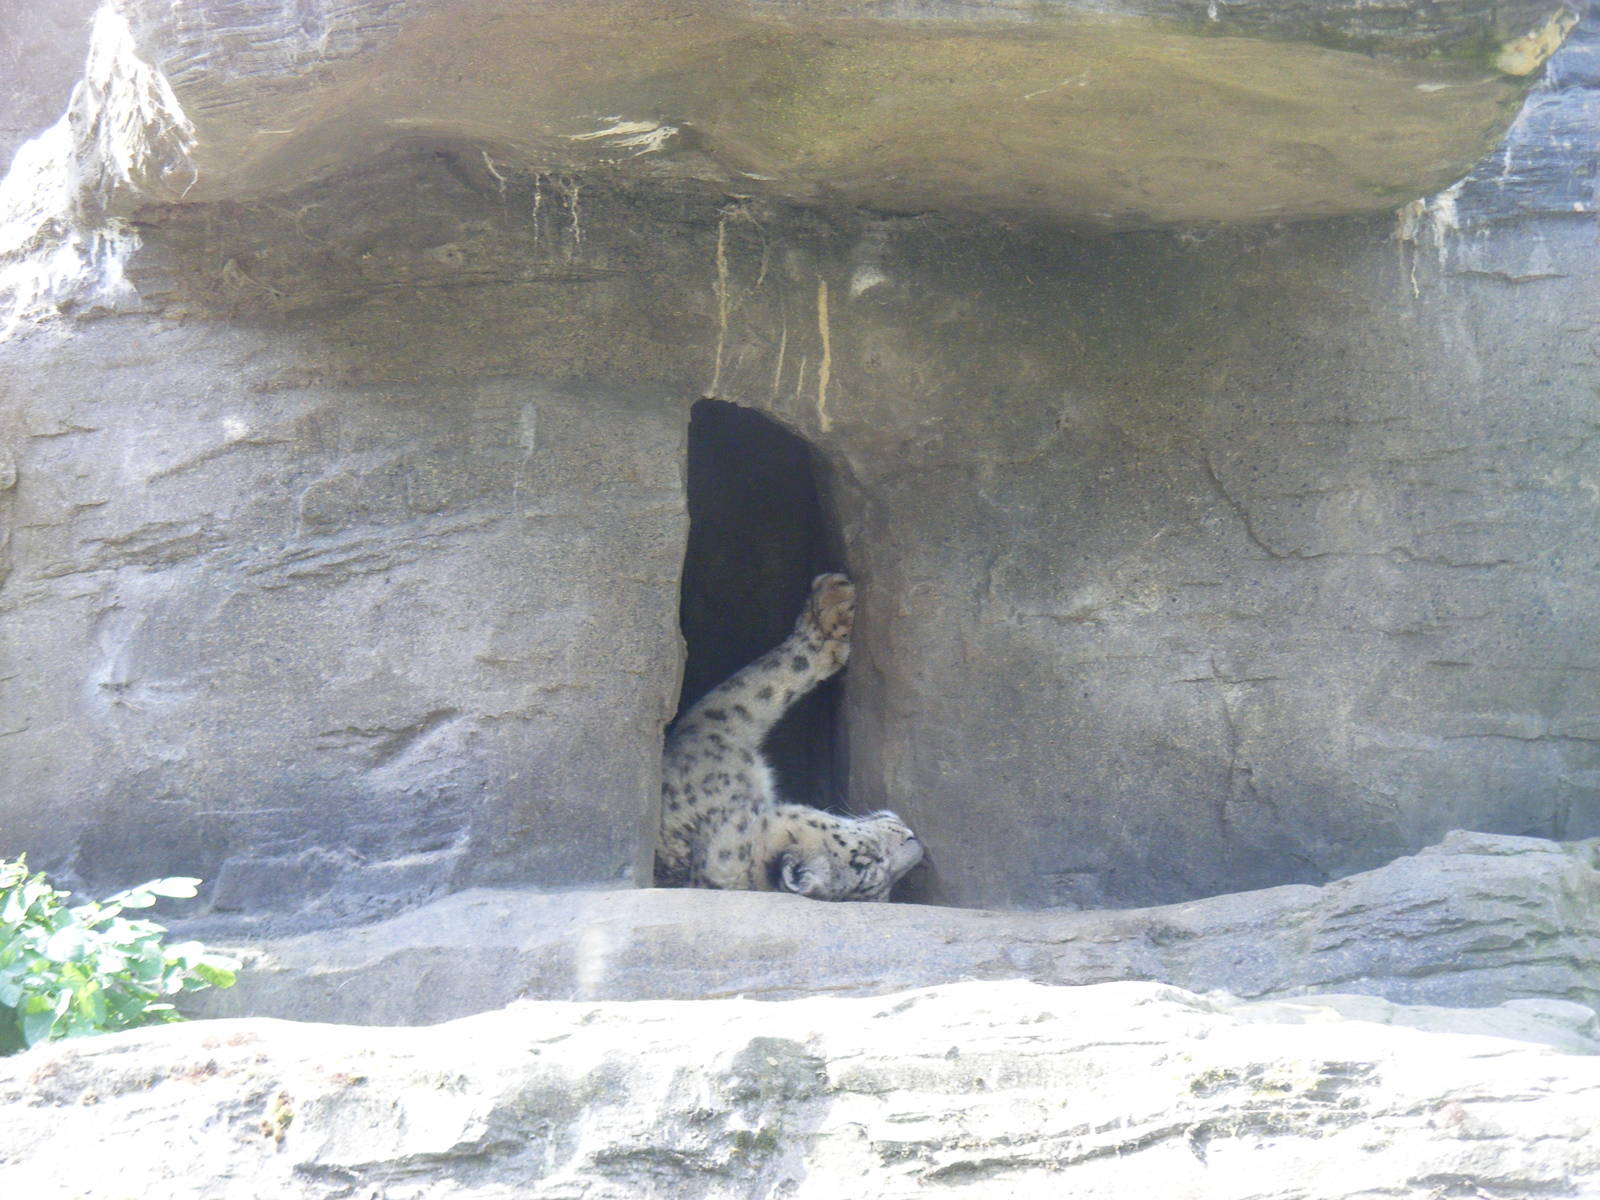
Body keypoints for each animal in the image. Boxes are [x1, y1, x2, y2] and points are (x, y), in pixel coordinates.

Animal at [656, 572, 924, 901]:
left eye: (884, 888)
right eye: (868, 856)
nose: (913, 838)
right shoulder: (713, 733)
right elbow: (765, 682)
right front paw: (833, 601)